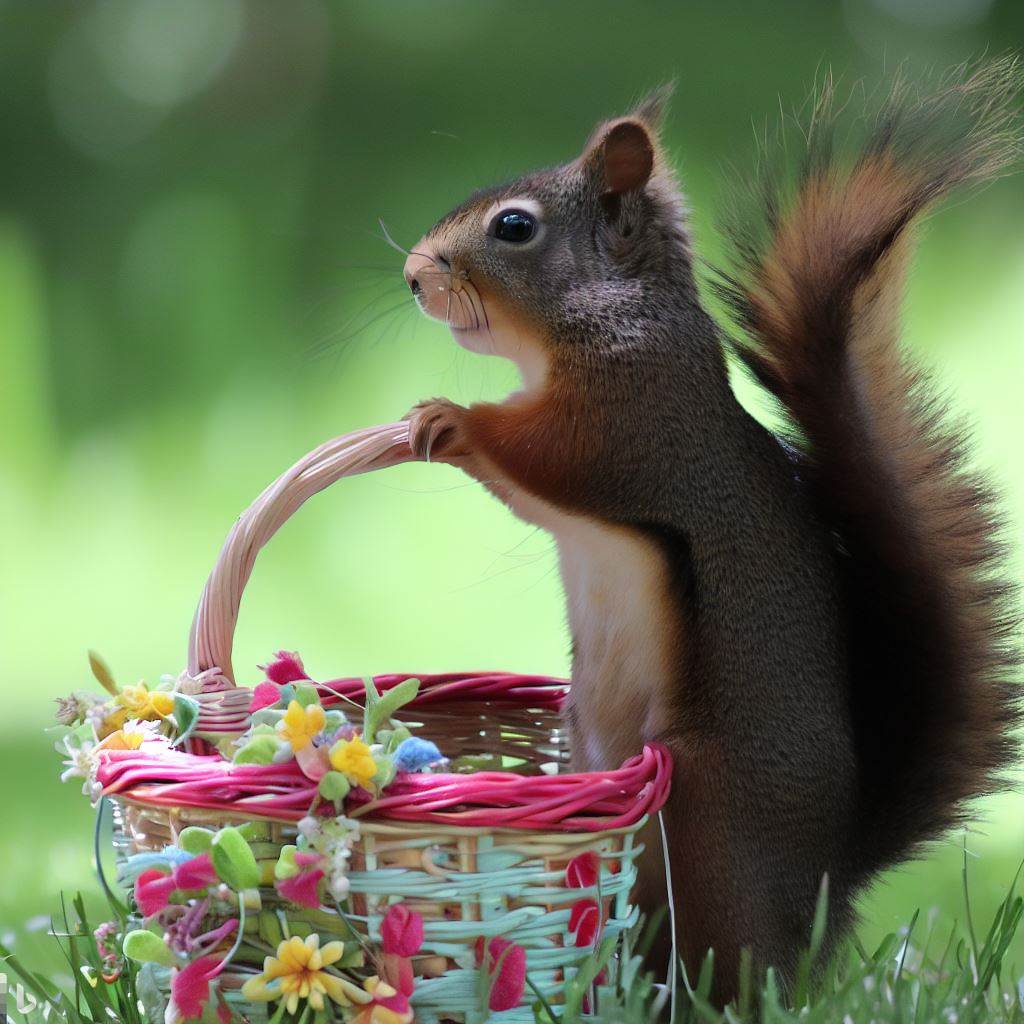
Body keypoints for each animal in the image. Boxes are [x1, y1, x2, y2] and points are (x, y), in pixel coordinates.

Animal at [395, 59, 1019, 1003]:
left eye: (514, 227)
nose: (412, 274)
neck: (607, 310)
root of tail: (826, 887)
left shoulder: (629, 418)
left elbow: (547, 454)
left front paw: (451, 417)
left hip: (702, 827)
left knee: (727, 964)